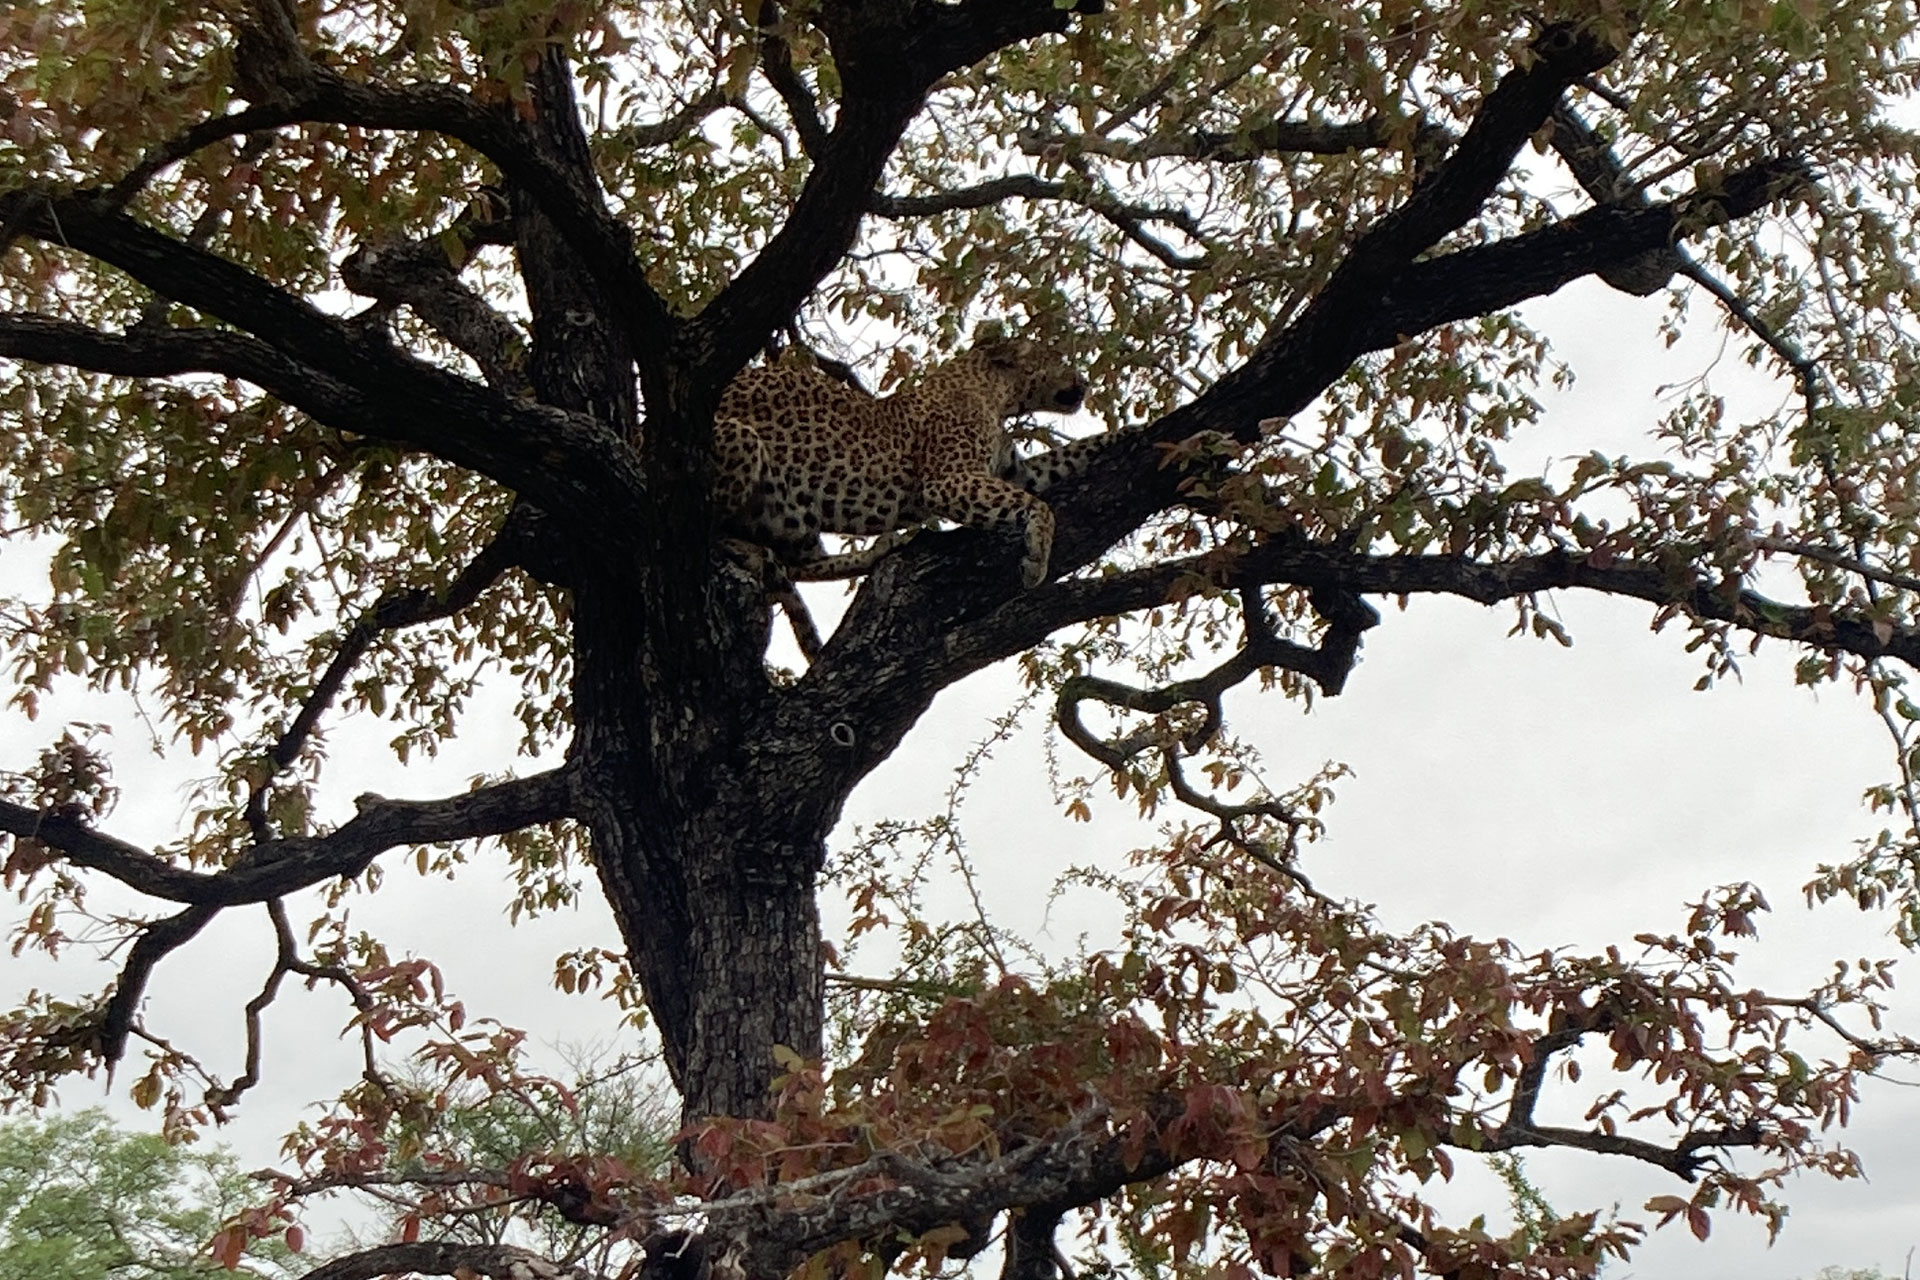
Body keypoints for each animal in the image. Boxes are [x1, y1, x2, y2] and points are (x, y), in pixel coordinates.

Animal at [712, 330, 1091, 588]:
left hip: (792, 512)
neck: (999, 398)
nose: (1085, 382)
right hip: (742, 438)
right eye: (1057, 358)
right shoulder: (948, 480)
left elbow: (1073, 454)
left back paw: (878, 551)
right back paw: (738, 548)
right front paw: (1037, 557)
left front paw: (1111, 436)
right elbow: (1041, 506)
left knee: (799, 563)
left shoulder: (1017, 472)